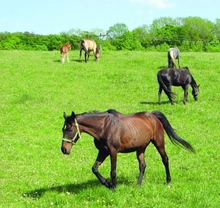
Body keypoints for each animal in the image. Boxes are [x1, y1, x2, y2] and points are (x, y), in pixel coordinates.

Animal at [60, 109, 194, 189]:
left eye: (70, 129)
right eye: (63, 129)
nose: (64, 149)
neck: (104, 127)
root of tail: (153, 115)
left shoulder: (113, 151)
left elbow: (113, 171)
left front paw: (113, 187)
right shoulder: (103, 151)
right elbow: (95, 169)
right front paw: (107, 184)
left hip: (159, 143)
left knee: (165, 159)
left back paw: (168, 180)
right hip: (140, 148)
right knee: (142, 165)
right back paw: (138, 185)